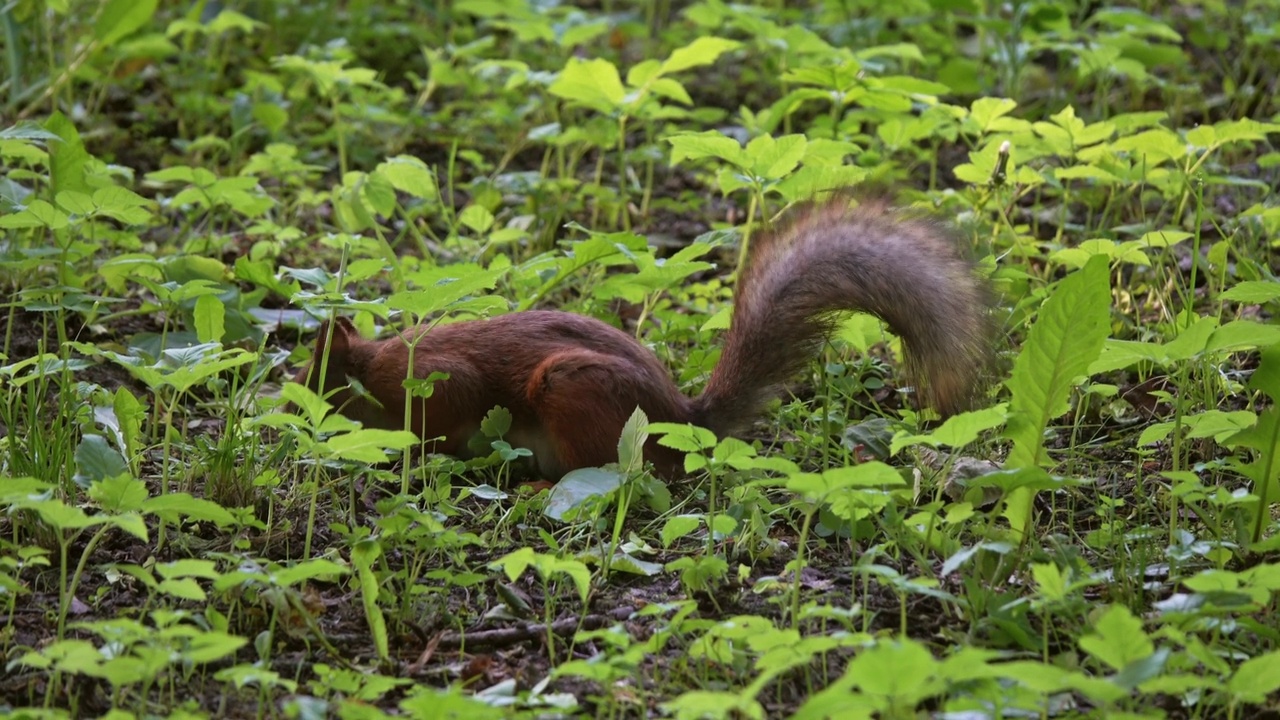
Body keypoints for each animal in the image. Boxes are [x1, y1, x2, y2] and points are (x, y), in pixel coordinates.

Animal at [294, 196, 993, 476]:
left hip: (572, 390)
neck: (373, 369)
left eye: (315, 379)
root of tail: (681, 419)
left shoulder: (431, 382)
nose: (288, 415)